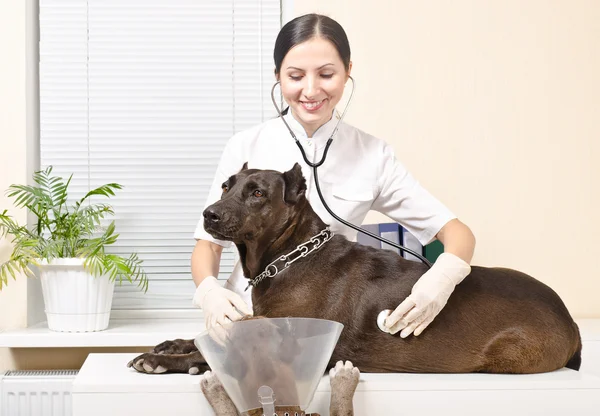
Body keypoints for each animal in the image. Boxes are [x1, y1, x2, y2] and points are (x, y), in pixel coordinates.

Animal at [130, 163, 580, 376]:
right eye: (227, 185)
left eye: (256, 193)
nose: (209, 214)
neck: (288, 257)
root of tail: (571, 320)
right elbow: (218, 330)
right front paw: (172, 345)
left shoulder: (289, 344)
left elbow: (225, 345)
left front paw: (165, 360)